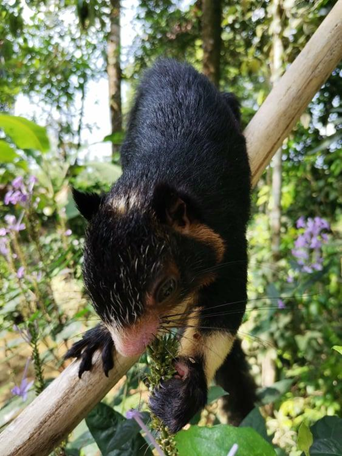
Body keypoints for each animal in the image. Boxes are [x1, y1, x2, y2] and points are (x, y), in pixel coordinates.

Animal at [65, 58, 256, 432]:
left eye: (167, 288)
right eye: (92, 294)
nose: (129, 348)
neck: (150, 178)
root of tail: (167, 63)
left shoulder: (230, 243)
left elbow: (222, 312)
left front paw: (185, 386)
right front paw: (101, 336)